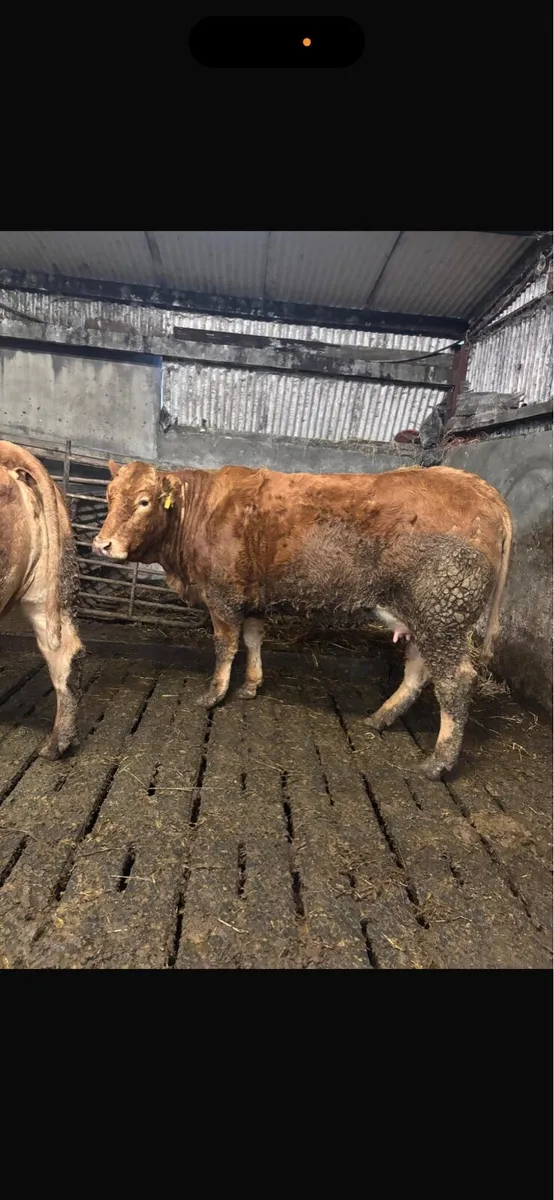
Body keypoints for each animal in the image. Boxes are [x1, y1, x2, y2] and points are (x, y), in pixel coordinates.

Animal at [93, 460, 512, 781]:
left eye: (145, 501)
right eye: (109, 497)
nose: (102, 545)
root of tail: (480, 488)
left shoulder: (223, 596)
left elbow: (225, 645)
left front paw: (214, 694)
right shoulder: (253, 599)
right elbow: (253, 639)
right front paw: (251, 685)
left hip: (442, 615)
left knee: (455, 683)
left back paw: (437, 763)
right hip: (423, 620)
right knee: (418, 672)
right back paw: (380, 718)